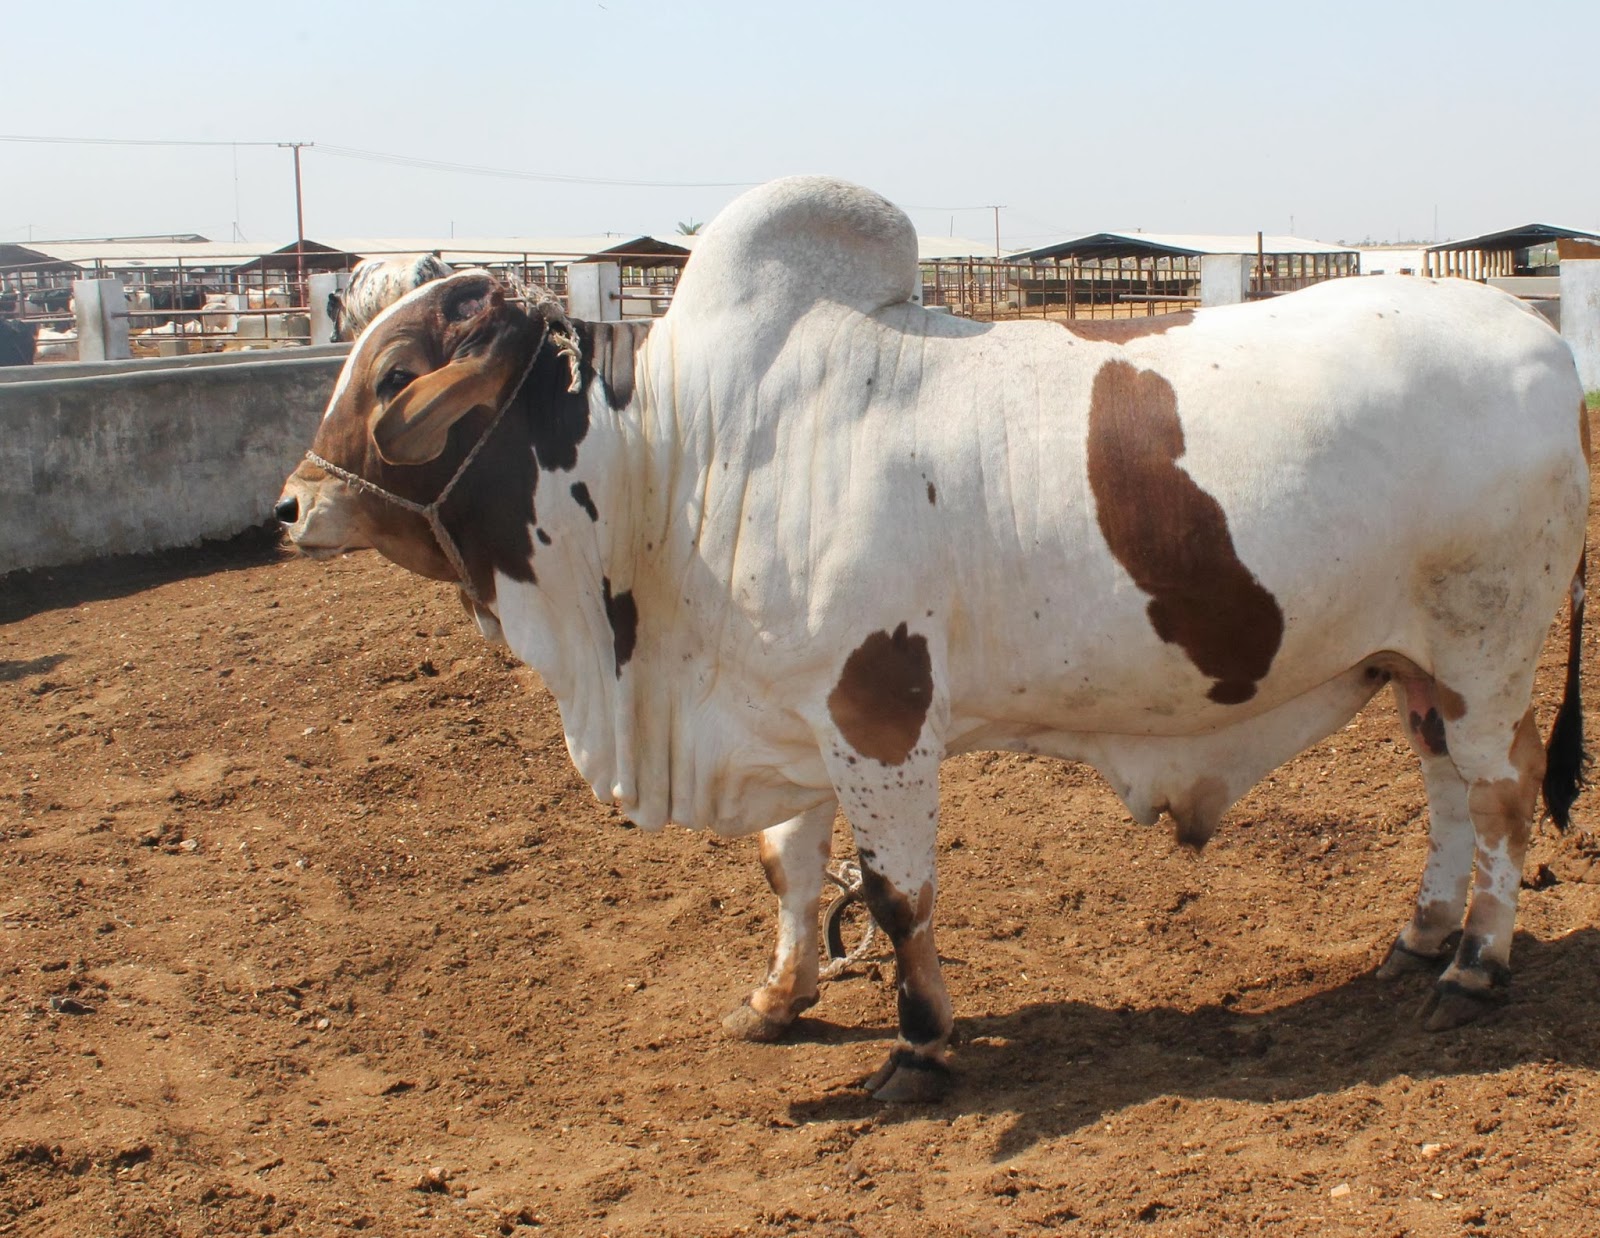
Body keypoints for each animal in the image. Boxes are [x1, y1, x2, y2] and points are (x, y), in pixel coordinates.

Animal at [277, 176, 1590, 1103]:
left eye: (396, 371)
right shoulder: (791, 708)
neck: (677, 456)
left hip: (1484, 650)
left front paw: (918, 1046)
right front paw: (779, 995)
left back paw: (1475, 963)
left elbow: (896, 894)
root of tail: (1535, 339)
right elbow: (790, 867)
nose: (290, 507)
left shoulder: (879, 709)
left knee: (1502, 795)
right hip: (1413, 664)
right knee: (1446, 793)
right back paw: (1417, 936)